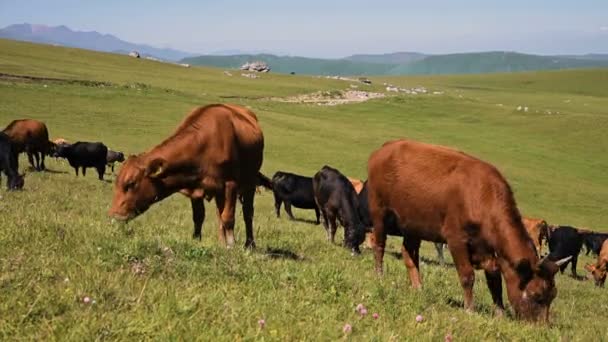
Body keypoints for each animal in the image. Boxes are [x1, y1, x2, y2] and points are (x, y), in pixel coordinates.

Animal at [108, 104, 270, 248]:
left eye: (131, 183)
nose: (114, 215)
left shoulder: (231, 184)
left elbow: (229, 217)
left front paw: (231, 244)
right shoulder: (195, 187)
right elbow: (199, 216)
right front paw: (196, 239)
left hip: (249, 182)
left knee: (247, 213)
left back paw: (249, 244)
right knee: (219, 214)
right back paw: (221, 242)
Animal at [366, 139, 568, 320]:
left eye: (552, 296)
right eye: (536, 295)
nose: (542, 327)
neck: (482, 196)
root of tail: (386, 148)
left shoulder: (490, 252)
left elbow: (495, 281)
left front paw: (500, 313)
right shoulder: (456, 240)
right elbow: (467, 275)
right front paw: (470, 309)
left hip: (413, 225)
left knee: (409, 254)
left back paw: (418, 287)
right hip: (379, 211)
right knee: (379, 245)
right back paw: (379, 276)